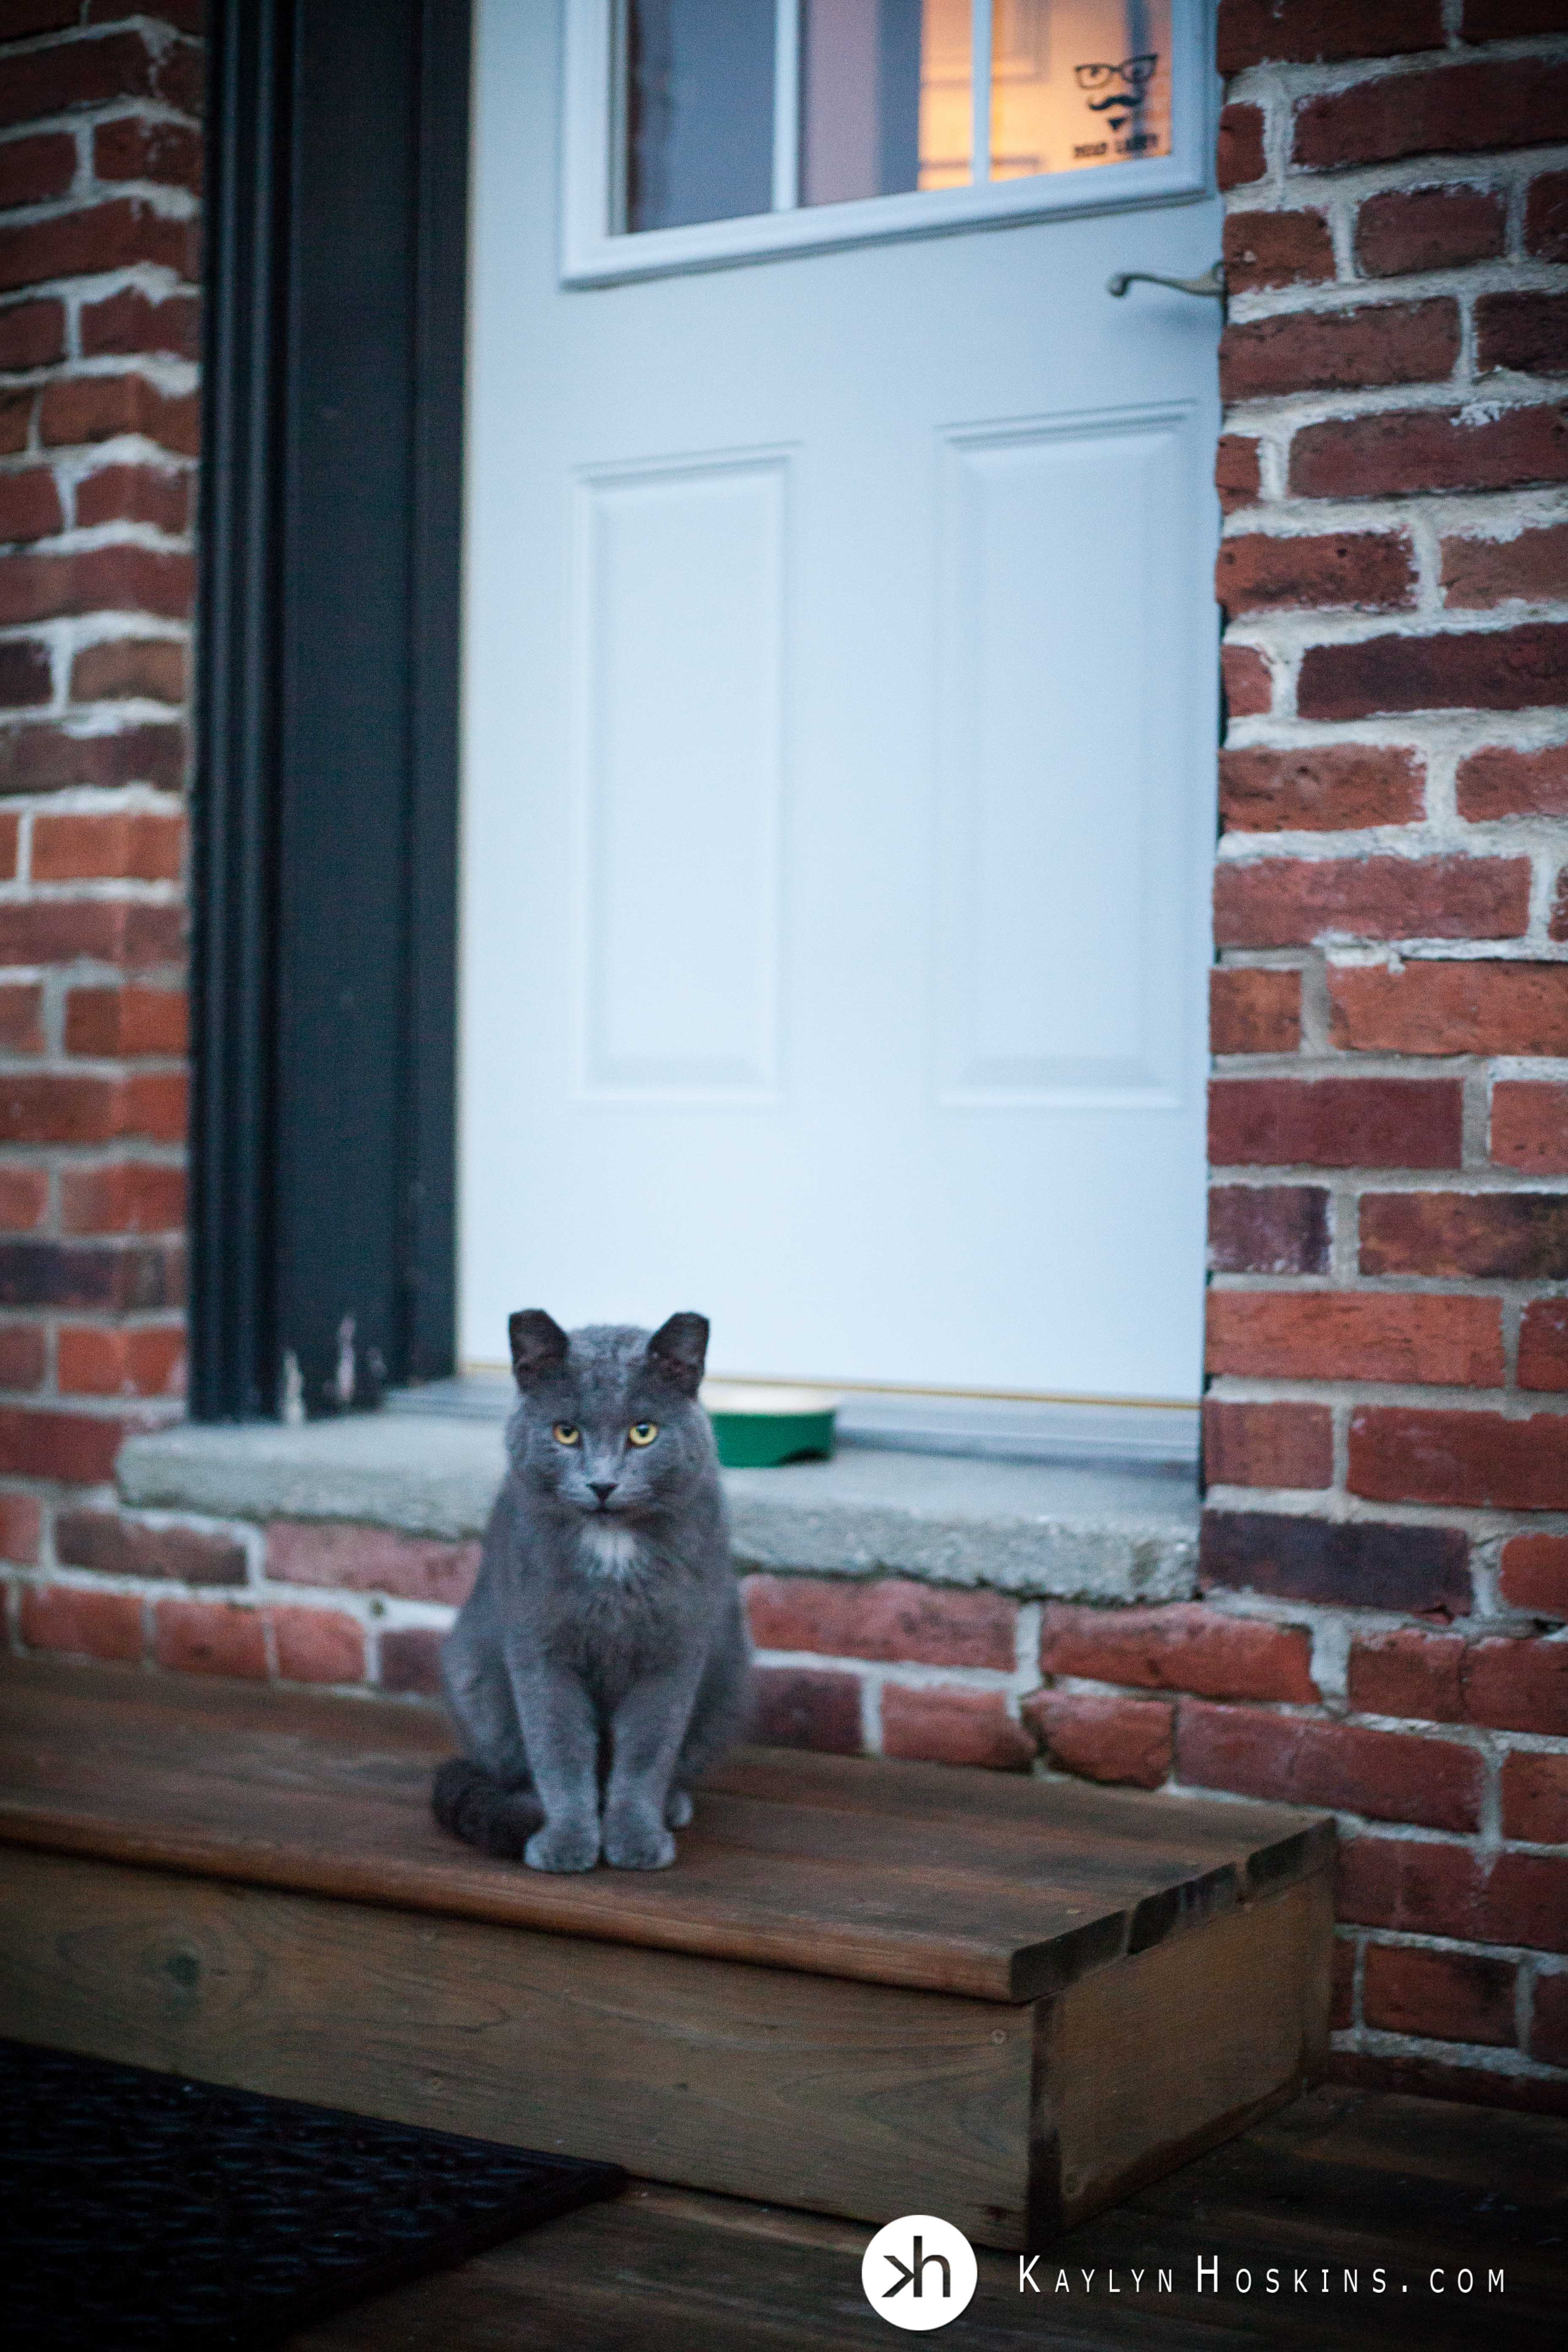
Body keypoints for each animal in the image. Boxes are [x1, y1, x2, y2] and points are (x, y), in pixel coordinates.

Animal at [425, 1317, 752, 1863]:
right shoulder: (539, 1647)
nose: (602, 1485)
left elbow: (646, 1751)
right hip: (474, 1676)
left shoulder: (674, 1650)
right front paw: (566, 1842)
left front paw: (636, 1840)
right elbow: (557, 1746)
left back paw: (670, 1806)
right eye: (566, 1431)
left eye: (644, 1432)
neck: (612, 1547)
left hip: (729, 1679)